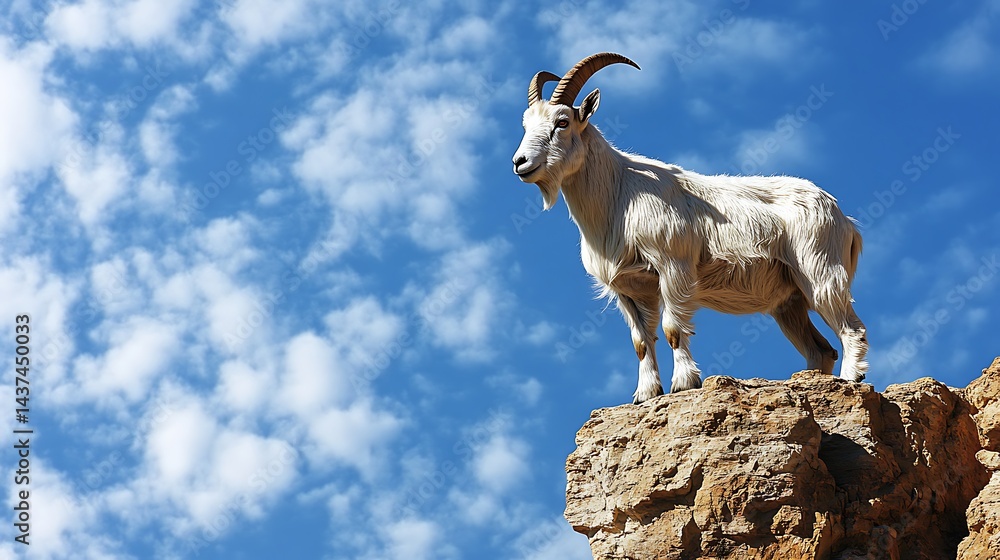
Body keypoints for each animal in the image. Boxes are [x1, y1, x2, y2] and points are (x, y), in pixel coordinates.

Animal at [512, 53, 868, 404]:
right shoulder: (629, 289)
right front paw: (645, 394)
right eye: (526, 125)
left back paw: (851, 379)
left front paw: (683, 383)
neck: (619, 196)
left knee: (851, 328)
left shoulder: (673, 266)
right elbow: (641, 341)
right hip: (790, 300)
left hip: (820, 272)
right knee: (821, 349)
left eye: (562, 122)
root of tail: (845, 221)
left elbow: (673, 328)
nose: (520, 163)